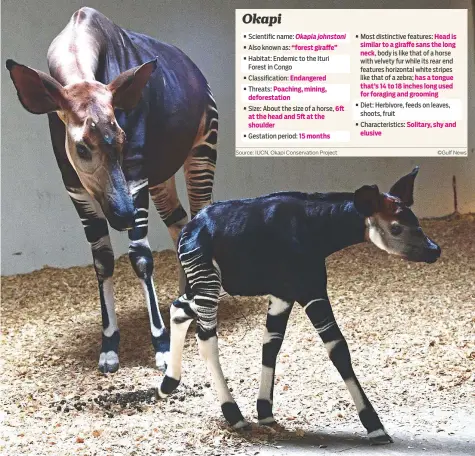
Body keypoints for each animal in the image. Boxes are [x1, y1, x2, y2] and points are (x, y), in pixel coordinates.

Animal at [6, 8, 218, 374]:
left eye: (123, 138)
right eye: (81, 148)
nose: (122, 215)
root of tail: (196, 72)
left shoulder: (135, 175)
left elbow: (141, 257)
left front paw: (162, 347)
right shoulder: (75, 187)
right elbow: (102, 260)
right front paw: (108, 347)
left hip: (202, 147)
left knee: (200, 214)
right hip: (160, 176)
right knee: (180, 225)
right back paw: (186, 299)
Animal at [160, 167, 442, 442]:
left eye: (416, 221)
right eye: (396, 228)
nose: (435, 250)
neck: (314, 227)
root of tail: (187, 229)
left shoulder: (283, 294)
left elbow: (271, 345)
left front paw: (265, 412)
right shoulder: (311, 288)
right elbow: (338, 348)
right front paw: (375, 426)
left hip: (212, 284)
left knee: (179, 310)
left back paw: (168, 384)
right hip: (208, 281)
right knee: (206, 338)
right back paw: (233, 415)